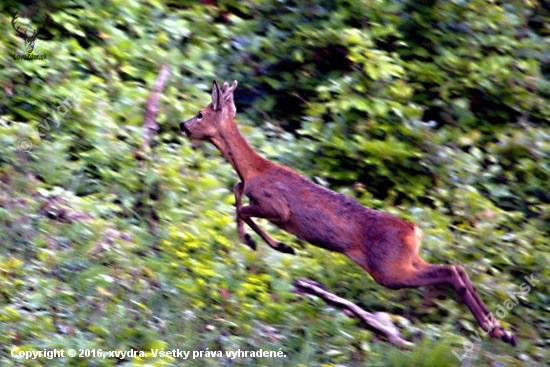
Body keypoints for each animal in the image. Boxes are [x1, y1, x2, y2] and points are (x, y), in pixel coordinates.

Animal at [180, 79, 516, 346]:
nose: (182, 125)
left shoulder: (277, 207)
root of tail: (414, 230)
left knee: (449, 272)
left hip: (388, 270)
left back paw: (497, 330)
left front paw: (271, 244)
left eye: (201, 113)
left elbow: (242, 207)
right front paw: (272, 244)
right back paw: (501, 331)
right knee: (456, 268)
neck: (254, 168)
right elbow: (237, 190)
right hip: (407, 261)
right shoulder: (256, 194)